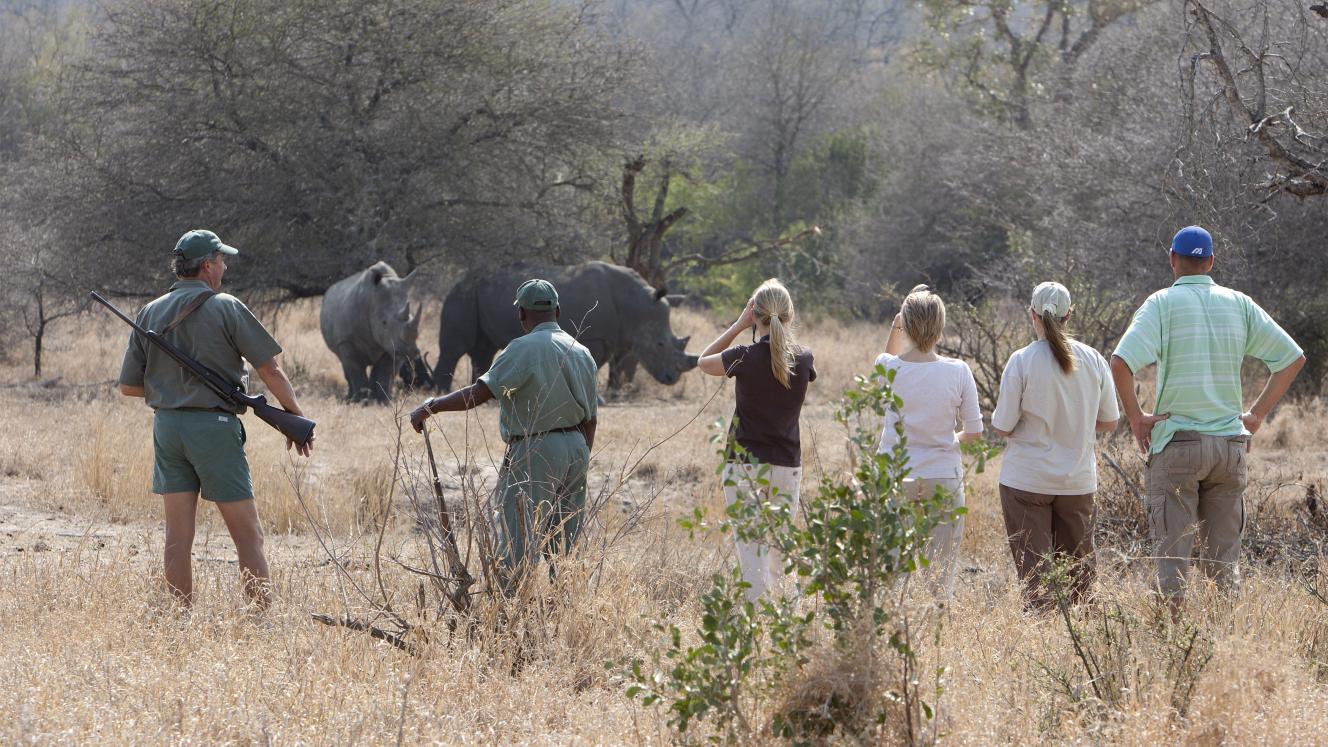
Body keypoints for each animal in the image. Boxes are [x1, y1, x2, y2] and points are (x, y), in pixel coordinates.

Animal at [320, 261, 429, 402]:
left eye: (411, 317)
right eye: (384, 322)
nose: (411, 351)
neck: (371, 301)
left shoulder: (392, 344)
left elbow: (385, 372)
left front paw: (382, 401)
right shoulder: (346, 341)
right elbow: (355, 370)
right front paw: (361, 401)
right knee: (344, 363)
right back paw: (349, 399)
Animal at [434, 261, 697, 392]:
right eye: (660, 344)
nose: (672, 378)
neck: (635, 305)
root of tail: (460, 280)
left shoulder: (619, 336)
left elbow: (619, 363)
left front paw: (615, 391)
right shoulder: (595, 337)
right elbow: (598, 362)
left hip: (476, 294)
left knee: (483, 350)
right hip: (463, 294)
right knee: (455, 348)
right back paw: (439, 392)